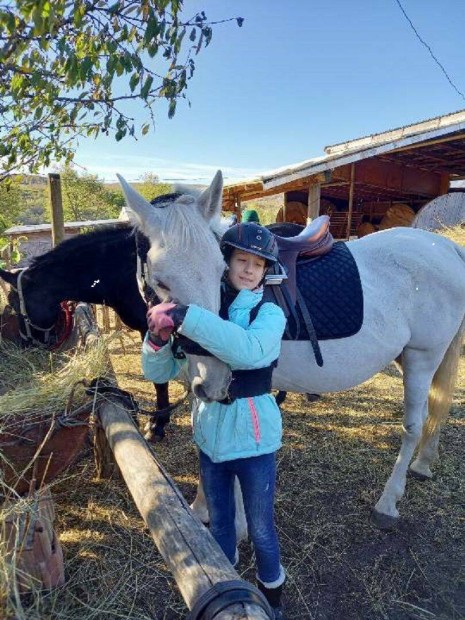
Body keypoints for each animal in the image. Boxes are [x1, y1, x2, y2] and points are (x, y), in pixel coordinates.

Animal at [118, 172, 464, 532]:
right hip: (409, 358)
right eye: (161, 281)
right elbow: (203, 435)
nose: (216, 380)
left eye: (219, 270)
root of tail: (446, 247)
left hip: (423, 357)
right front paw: (201, 508)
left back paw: (388, 501)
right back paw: (423, 462)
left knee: (414, 424)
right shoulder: (200, 385)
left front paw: (236, 524)